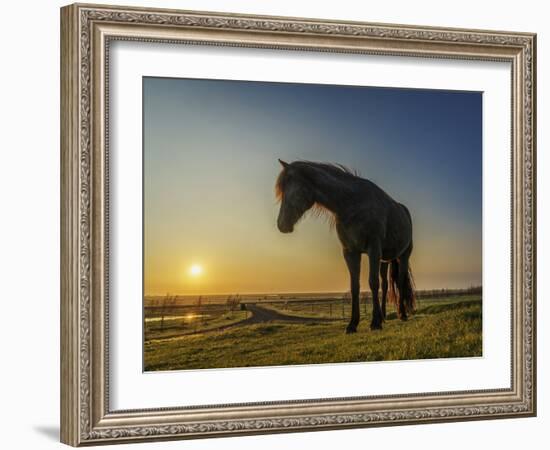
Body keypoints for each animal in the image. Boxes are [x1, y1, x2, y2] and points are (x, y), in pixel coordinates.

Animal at [278, 160, 416, 332]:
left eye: (289, 190)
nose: (281, 224)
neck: (353, 203)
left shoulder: (373, 250)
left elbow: (373, 282)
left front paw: (374, 323)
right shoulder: (350, 252)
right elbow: (354, 287)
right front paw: (352, 324)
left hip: (403, 256)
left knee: (401, 281)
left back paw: (402, 314)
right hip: (385, 260)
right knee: (385, 285)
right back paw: (384, 316)